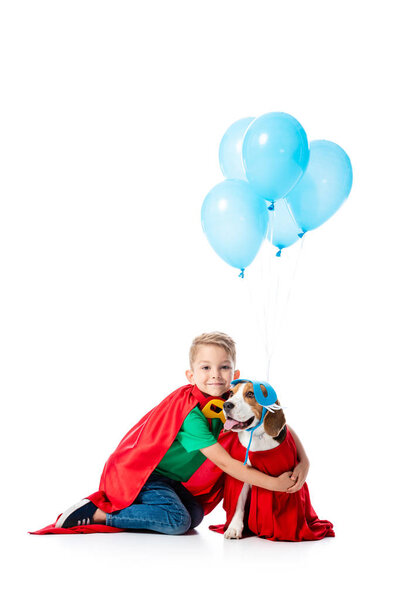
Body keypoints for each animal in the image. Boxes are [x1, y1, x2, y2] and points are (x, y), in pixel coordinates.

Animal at [222, 382, 288, 540]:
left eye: (251, 394)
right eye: (231, 393)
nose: (226, 405)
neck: (257, 436)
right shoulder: (243, 476)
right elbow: (238, 503)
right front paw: (234, 528)